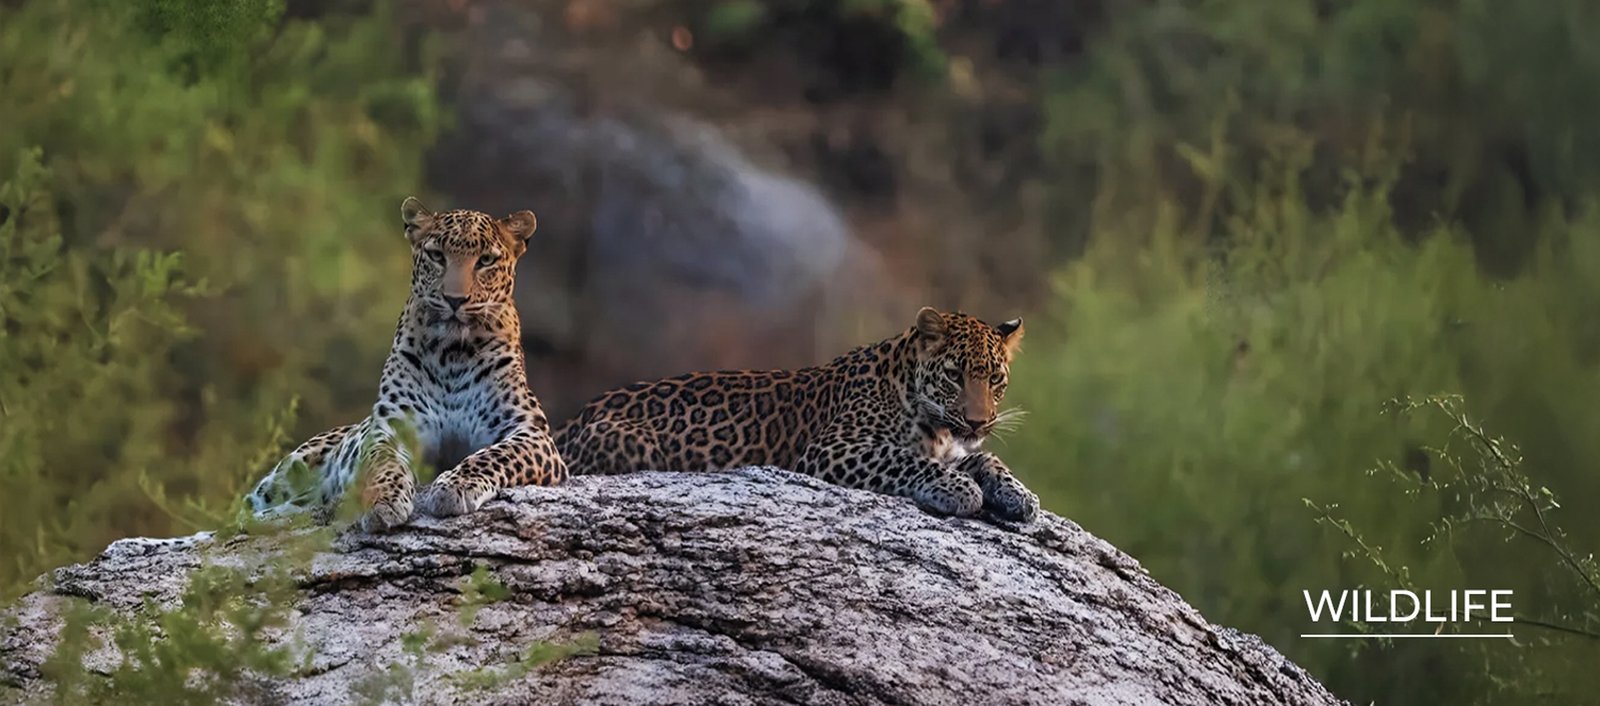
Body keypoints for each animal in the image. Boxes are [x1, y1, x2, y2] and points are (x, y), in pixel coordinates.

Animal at [245, 197, 567, 532]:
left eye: (486, 260)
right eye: (437, 256)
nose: (454, 299)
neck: (454, 352)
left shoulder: (530, 431)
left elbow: (493, 456)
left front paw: (455, 486)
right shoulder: (391, 428)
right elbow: (383, 463)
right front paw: (383, 501)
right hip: (286, 473)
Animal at [554, 307, 1041, 522]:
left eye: (995, 378)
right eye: (955, 375)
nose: (978, 422)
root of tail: (570, 421)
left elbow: (987, 458)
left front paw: (1021, 495)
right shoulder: (834, 448)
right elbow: (904, 458)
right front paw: (959, 489)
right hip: (627, 441)